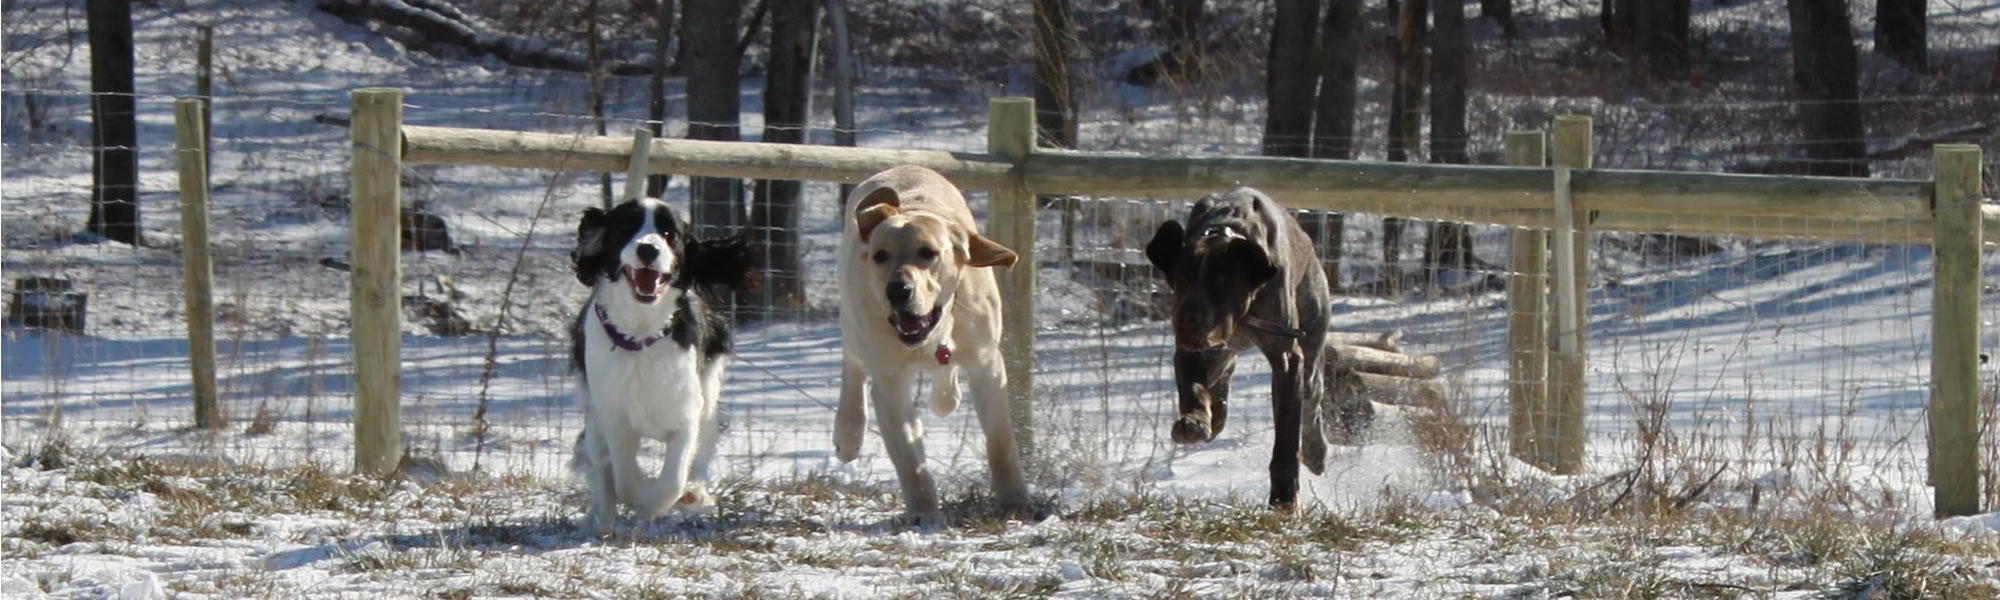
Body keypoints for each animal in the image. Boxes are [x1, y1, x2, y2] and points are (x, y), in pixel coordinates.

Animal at [572, 198, 756, 536]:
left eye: (669, 233)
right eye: (627, 227)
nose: (648, 249)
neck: (641, 334)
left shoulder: (686, 412)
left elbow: (673, 478)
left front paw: (658, 502)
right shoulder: (614, 416)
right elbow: (622, 477)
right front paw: (633, 496)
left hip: (708, 389)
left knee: (702, 447)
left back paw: (694, 493)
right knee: (601, 465)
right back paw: (600, 519)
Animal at [836, 165, 1032, 524]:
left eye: (928, 253)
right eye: (880, 256)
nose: (897, 290)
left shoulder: (987, 364)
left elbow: (1000, 441)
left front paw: (1014, 499)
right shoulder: (890, 383)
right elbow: (910, 458)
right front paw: (924, 513)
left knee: (945, 378)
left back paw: (945, 396)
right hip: (854, 320)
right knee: (853, 364)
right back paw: (849, 432)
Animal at [1152, 186, 1336, 506]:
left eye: (1222, 279)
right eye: (1182, 275)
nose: (1187, 317)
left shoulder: (1287, 358)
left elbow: (1288, 433)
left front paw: (1285, 496)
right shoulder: (1192, 347)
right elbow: (1192, 386)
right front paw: (1195, 420)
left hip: (1312, 336)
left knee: (1311, 403)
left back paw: (1316, 451)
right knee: (1223, 370)